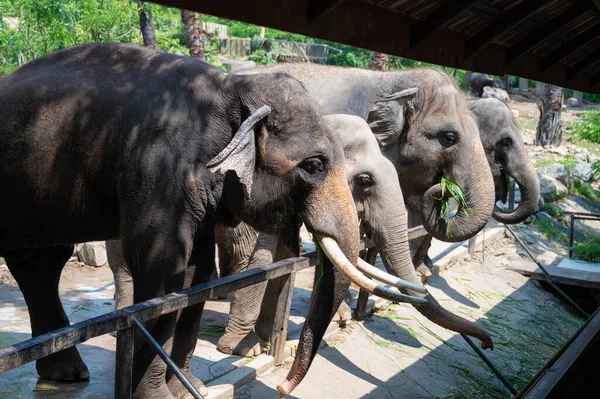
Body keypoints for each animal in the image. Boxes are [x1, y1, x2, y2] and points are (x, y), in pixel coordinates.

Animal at [0, 43, 418, 399]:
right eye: (314, 166)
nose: (282, 386)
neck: (232, 89)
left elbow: (195, 275)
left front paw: (188, 387)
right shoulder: (158, 167)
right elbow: (163, 274)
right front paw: (157, 396)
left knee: (40, 262)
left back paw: (67, 374)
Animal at [213, 115, 494, 366]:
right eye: (365, 181)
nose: (486, 344)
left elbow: (287, 258)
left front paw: (266, 337)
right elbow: (263, 259)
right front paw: (245, 350)